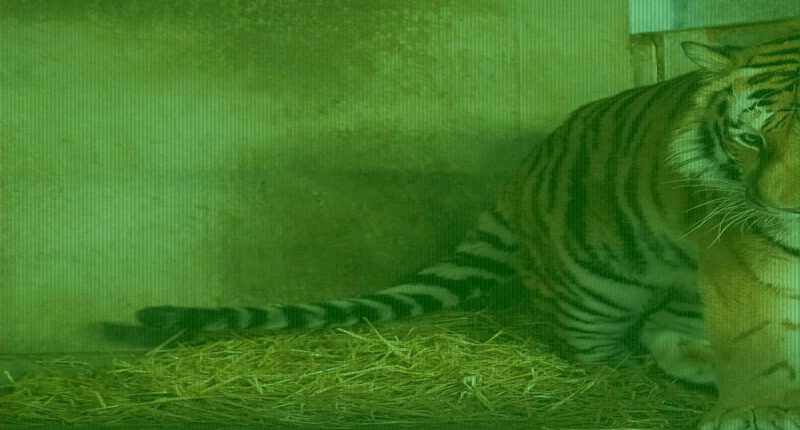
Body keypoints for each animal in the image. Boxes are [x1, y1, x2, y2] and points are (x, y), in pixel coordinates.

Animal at [134, 36, 800, 429]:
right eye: (749, 137)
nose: (781, 208)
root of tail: (523, 173)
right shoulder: (745, 257)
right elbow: (758, 337)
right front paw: (758, 410)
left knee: (666, 326)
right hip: (599, 289)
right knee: (612, 344)